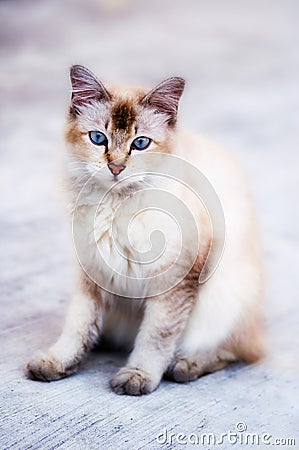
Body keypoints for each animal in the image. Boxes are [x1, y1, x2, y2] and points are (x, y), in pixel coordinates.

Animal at [25, 65, 264, 396]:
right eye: (98, 138)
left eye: (140, 144)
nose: (116, 168)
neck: (115, 205)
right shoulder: (91, 271)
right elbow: (78, 325)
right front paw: (59, 361)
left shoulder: (176, 280)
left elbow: (156, 336)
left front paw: (137, 376)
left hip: (224, 298)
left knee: (231, 351)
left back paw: (186, 365)